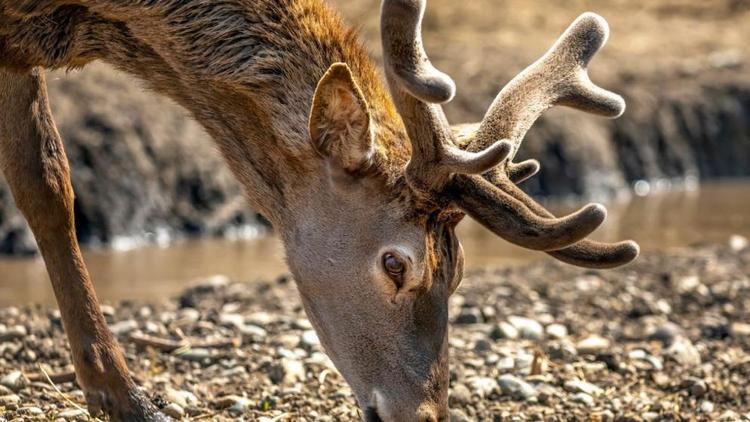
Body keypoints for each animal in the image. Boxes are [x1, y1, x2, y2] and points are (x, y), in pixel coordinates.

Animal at [0, 0, 640, 420]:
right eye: (395, 263)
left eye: (458, 271)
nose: (426, 416)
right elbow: (48, 184)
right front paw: (125, 397)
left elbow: (45, 183)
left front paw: (118, 395)